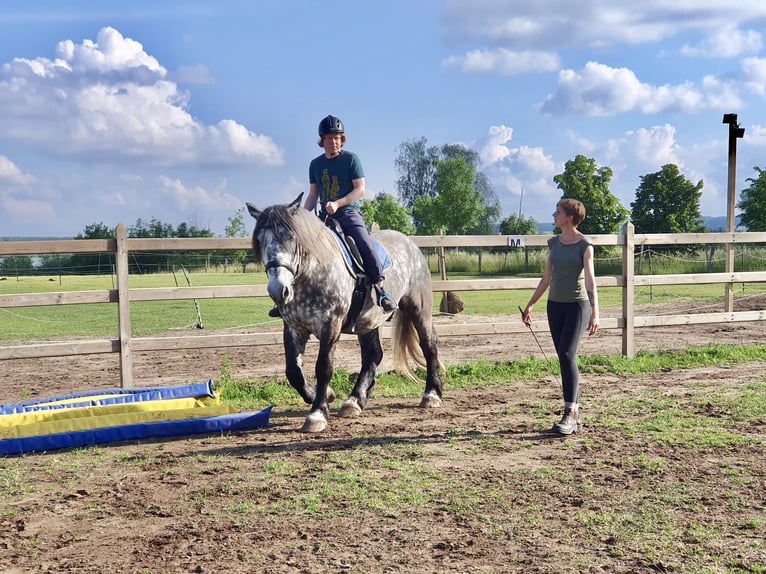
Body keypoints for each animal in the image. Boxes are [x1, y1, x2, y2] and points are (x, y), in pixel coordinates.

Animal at [246, 194, 444, 433]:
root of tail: (410, 243)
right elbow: (293, 371)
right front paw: (323, 395)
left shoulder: (330, 324)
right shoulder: (294, 327)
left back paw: (431, 394)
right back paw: (355, 400)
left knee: (428, 344)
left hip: (419, 309)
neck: (313, 272)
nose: (278, 290)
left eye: (291, 237)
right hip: (368, 320)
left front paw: (317, 414)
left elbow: (323, 367)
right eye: (260, 240)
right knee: (373, 355)